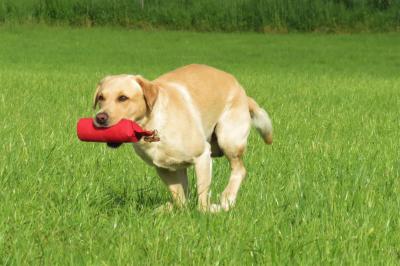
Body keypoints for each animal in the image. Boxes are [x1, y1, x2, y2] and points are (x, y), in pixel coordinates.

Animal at [93, 64, 272, 212]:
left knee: (240, 170)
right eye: (101, 97)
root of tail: (241, 90)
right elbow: (179, 198)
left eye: (123, 98)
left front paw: (205, 211)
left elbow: (202, 193)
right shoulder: (165, 168)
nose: (100, 118)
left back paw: (227, 199)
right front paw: (173, 209)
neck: (154, 127)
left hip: (229, 139)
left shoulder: (202, 156)